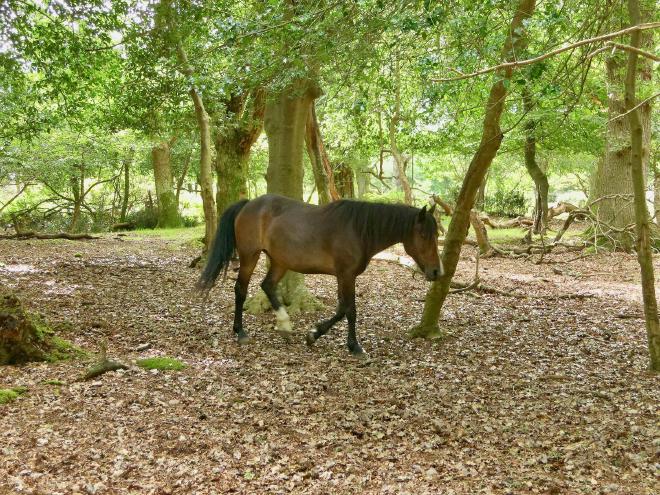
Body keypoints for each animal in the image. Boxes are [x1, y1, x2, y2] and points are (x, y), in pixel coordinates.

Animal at [197, 194, 442, 356]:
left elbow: (343, 309)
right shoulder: (346, 275)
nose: (437, 272)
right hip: (250, 256)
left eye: (436, 234)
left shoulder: (345, 276)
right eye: (423, 234)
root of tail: (248, 204)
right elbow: (348, 310)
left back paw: (284, 324)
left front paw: (316, 334)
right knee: (241, 289)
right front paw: (350, 344)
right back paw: (240, 332)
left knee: (267, 285)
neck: (359, 231)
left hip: (280, 261)